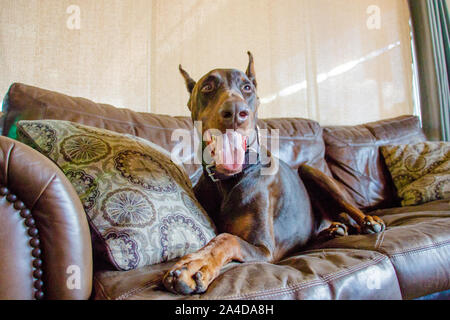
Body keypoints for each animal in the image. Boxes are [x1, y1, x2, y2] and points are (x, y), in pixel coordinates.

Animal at [163, 52, 384, 296]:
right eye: (207, 87)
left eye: (247, 87)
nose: (236, 112)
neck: (227, 181)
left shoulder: (265, 249)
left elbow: (226, 239)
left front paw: (194, 265)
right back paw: (333, 231)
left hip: (311, 170)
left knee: (350, 206)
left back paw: (368, 221)